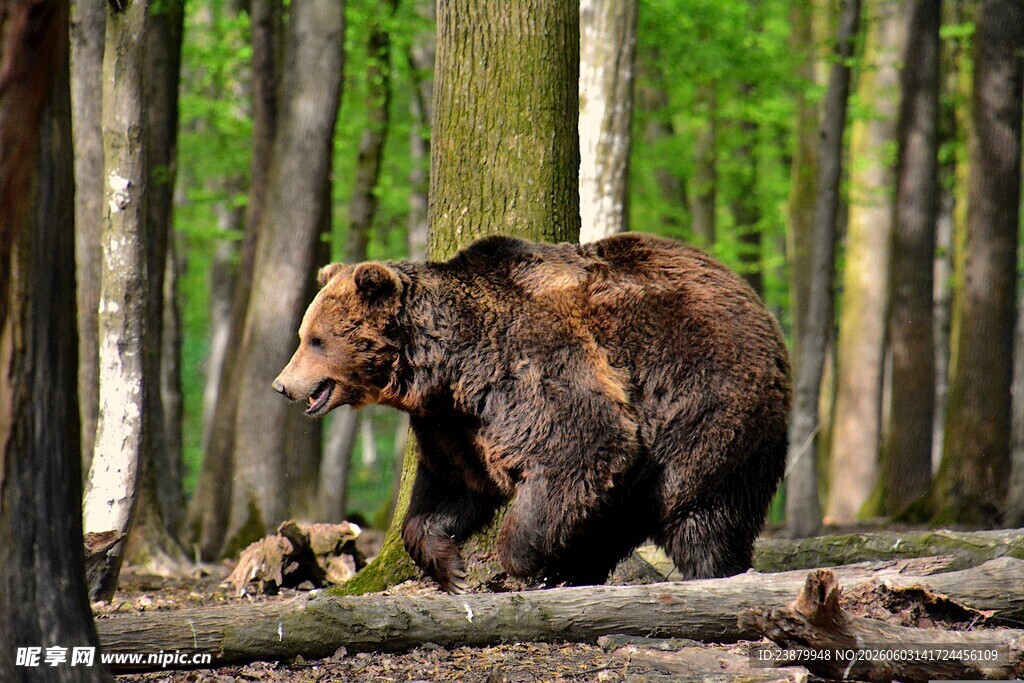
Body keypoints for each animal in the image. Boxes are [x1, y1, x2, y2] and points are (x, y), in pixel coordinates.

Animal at [273, 233, 791, 593]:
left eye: (316, 339)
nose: (282, 384)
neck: (449, 367)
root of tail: (756, 303)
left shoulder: (532, 370)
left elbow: (583, 445)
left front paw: (522, 562)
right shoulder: (455, 424)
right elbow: (450, 488)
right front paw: (452, 568)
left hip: (703, 400)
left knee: (700, 510)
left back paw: (711, 569)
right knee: (620, 514)